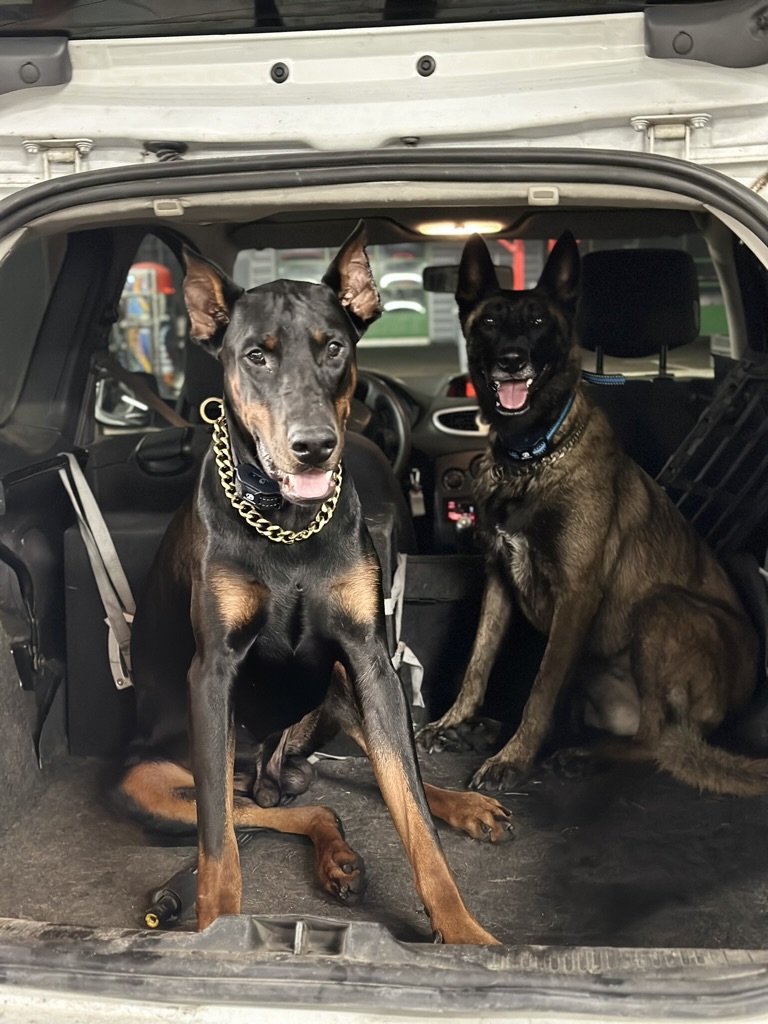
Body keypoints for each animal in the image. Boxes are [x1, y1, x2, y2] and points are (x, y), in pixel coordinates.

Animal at [116, 222, 509, 944]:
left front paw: (463, 932)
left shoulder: (368, 658)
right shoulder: (212, 673)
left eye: (333, 348)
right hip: (149, 784)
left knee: (374, 781)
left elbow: (410, 806)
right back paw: (331, 855)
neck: (287, 525)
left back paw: (452, 809)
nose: (314, 446)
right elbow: (218, 847)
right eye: (256, 356)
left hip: (336, 687)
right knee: (259, 813)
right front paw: (219, 932)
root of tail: (275, 771)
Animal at [418, 230, 764, 796]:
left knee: (654, 740)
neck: (530, 459)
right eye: (489, 322)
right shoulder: (499, 582)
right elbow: (478, 663)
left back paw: (580, 755)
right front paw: (455, 721)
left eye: (539, 321)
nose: (512, 360)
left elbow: (541, 689)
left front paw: (513, 759)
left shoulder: (576, 595)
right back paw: (486, 730)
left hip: (661, 610)